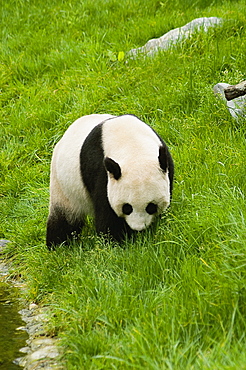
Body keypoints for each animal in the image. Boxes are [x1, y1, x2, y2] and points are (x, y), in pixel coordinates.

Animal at [45, 114, 173, 250]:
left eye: (151, 207)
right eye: (127, 208)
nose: (138, 228)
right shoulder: (100, 171)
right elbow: (107, 213)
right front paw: (116, 243)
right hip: (63, 185)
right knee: (64, 219)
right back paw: (58, 245)